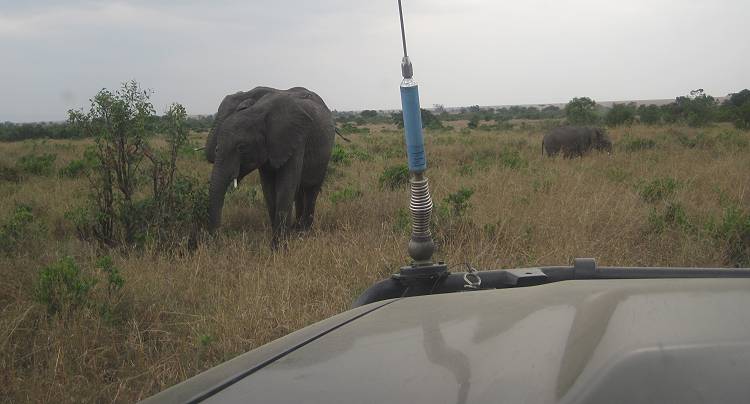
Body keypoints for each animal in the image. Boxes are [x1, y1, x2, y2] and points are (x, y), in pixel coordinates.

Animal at [206, 87, 334, 248]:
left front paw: (278, 247)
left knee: (312, 190)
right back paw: (296, 229)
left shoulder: (296, 140)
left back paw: (303, 233)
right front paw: (281, 239)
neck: (258, 110)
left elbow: (285, 186)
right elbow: (268, 189)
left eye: (242, 148)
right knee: (300, 190)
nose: (218, 242)